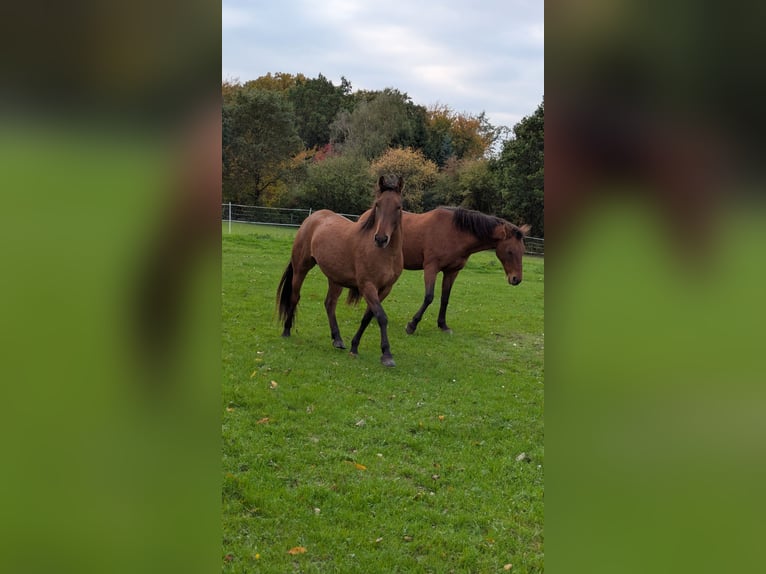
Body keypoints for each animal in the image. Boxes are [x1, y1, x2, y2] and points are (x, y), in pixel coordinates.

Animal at [277, 176, 404, 367]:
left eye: (398, 207)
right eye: (378, 204)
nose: (381, 238)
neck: (385, 254)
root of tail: (313, 217)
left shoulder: (384, 289)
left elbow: (368, 317)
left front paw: (354, 346)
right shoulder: (367, 286)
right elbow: (381, 317)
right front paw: (387, 354)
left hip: (335, 279)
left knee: (330, 304)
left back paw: (337, 339)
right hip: (301, 268)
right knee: (295, 296)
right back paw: (286, 330)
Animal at [401, 207, 531, 334]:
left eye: (523, 250)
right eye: (510, 251)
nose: (516, 279)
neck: (453, 233)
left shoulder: (451, 272)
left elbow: (445, 298)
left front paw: (443, 325)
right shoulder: (431, 268)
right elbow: (429, 297)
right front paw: (412, 325)